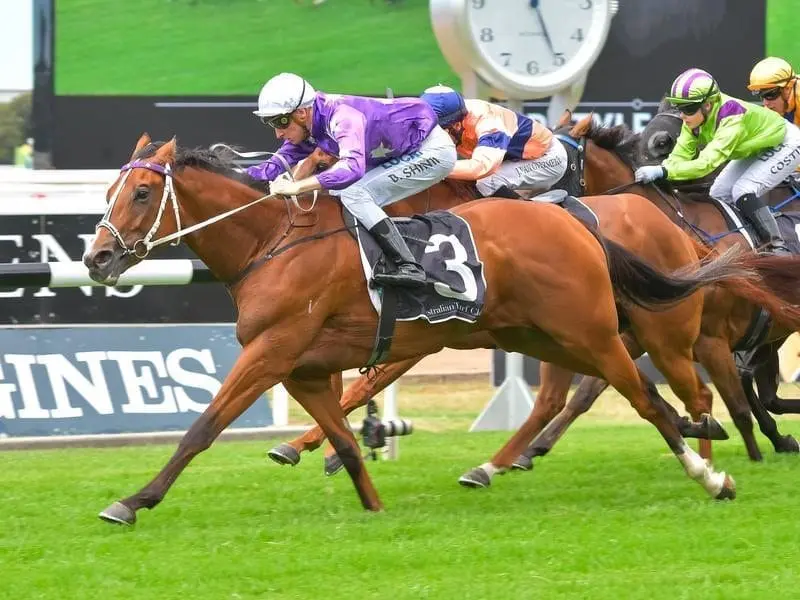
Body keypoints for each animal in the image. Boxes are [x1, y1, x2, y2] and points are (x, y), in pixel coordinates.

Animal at [86, 132, 756, 524]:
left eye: (141, 192)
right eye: (111, 187)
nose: (98, 258)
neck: (274, 242)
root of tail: (573, 220)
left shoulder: (272, 353)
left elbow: (203, 428)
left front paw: (132, 501)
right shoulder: (305, 370)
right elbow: (346, 440)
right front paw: (371, 504)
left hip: (595, 332)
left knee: (653, 399)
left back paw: (711, 472)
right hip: (543, 337)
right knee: (599, 398)